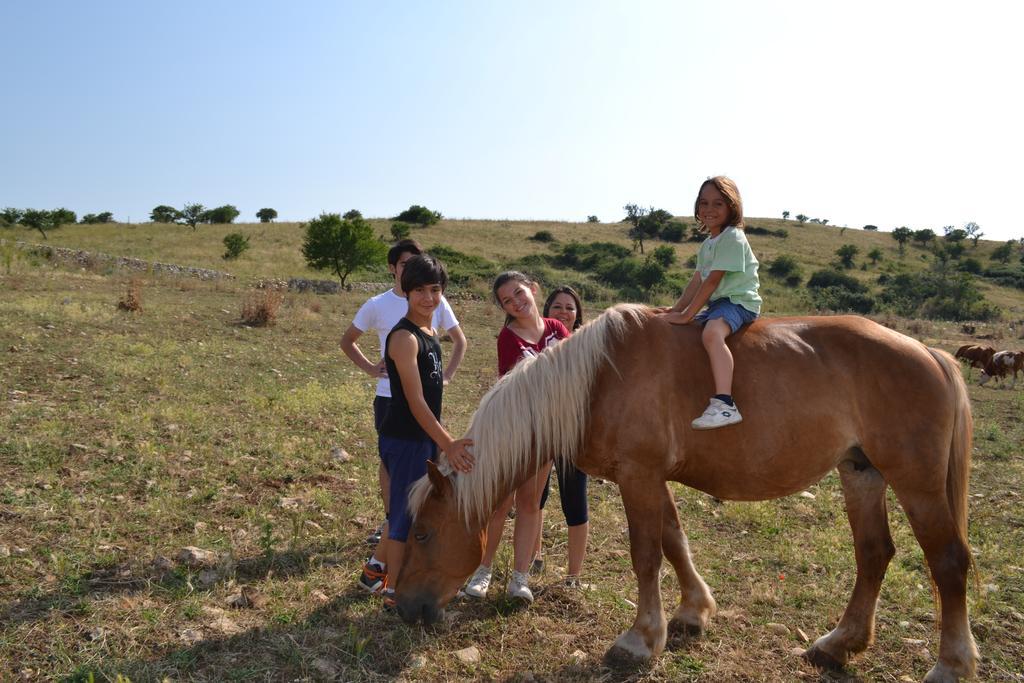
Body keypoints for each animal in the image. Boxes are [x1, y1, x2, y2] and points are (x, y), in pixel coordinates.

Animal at [397, 305, 974, 683]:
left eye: (422, 533)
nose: (403, 607)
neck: (599, 378)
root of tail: (929, 352)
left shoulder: (638, 475)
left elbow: (647, 554)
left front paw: (638, 640)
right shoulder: (653, 479)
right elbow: (675, 542)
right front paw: (693, 614)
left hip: (916, 481)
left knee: (948, 561)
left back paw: (951, 663)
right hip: (861, 474)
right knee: (874, 554)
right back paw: (838, 645)